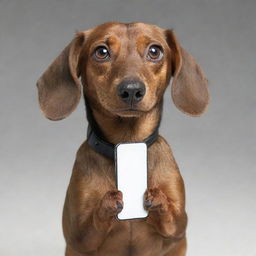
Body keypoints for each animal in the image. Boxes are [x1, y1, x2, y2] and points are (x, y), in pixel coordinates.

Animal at [35, 22, 208, 256]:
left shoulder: (179, 229)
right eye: (101, 52)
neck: (128, 143)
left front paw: (158, 199)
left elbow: (173, 220)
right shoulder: (78, 238)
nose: (132, 90)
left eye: (155, 51)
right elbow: (91, 225)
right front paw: (107, 203)